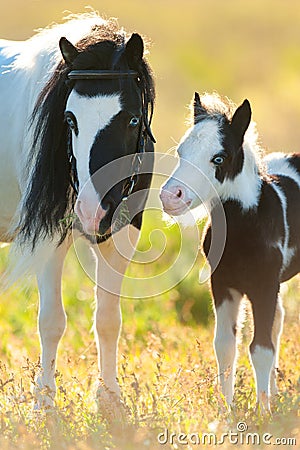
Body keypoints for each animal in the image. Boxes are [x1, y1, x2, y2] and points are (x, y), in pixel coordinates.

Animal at [161, 93, 298, 410]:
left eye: (218, 158)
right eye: (181, 152)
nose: (170, 197)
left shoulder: (263, 285)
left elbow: (260, 347)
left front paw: (263, 413)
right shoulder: (223, 283)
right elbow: (225, 346)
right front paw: (227, 411)